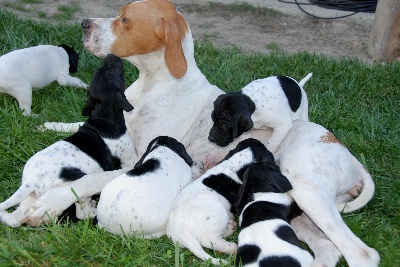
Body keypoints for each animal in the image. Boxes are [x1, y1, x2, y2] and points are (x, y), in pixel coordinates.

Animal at [0, 55, 135, 228]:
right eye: (117, 73)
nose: (112, 56)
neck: (102, 117)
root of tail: (31, 182)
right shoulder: (129, 159)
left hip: (30, 198)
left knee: (15, 218)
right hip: (71, 182)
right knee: (80, 208)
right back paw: (93, 210)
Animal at [27, 1, 378, 266]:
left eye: (124, 18)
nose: (84, 23)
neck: (155, 83)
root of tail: (342, 148)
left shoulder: (138, 159)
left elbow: (89, 179)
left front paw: (48, 203)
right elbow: (77, 126)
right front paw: (48, 125)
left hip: (306, 189)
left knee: (361, 254)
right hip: (297, 210)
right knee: (329, 249)